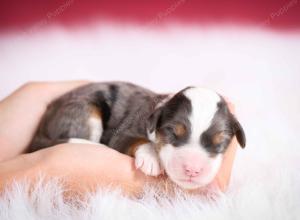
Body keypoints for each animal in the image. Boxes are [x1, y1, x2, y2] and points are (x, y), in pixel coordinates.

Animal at [28, 81, 246, 190]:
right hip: (84, 110)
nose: (192, 170)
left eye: (221, 142)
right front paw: (151, 159)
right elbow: (138, 141)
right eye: (172, 133)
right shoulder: (121, 134)